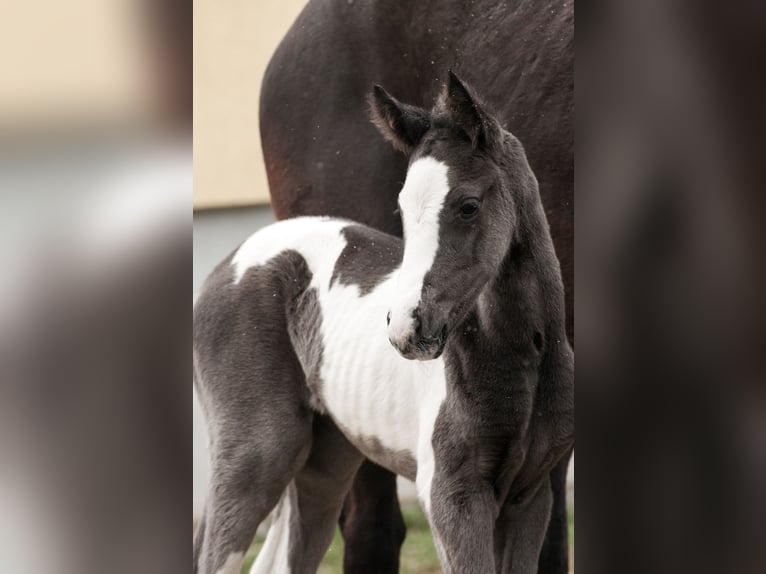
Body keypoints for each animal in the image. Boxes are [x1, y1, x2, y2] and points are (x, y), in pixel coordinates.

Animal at [193, 73, 574, 574]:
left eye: (468, 205)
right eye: (402, 208)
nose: (405, 329)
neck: (519, 358)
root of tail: (231, 263)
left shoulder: (529, 497)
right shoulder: (452, 496)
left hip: (322, 463)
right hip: (256, 452)